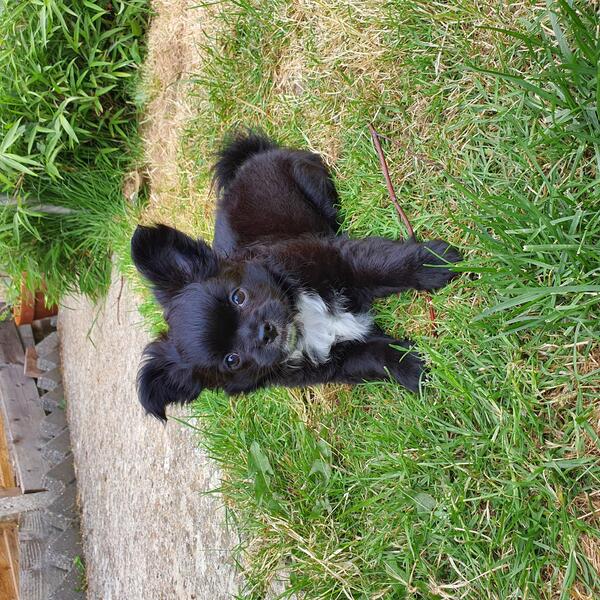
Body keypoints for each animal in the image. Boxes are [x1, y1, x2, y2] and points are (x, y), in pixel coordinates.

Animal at [130, 134, 460, 420]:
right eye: (231, 360)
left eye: (239, 296)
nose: (264, 333)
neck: (299, 314)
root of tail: (246, 160)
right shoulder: (334, 362)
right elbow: (374, 356)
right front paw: (413, 368)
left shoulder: (336, 260)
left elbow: (383, 264)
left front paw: (437, 264)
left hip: (312, 182)